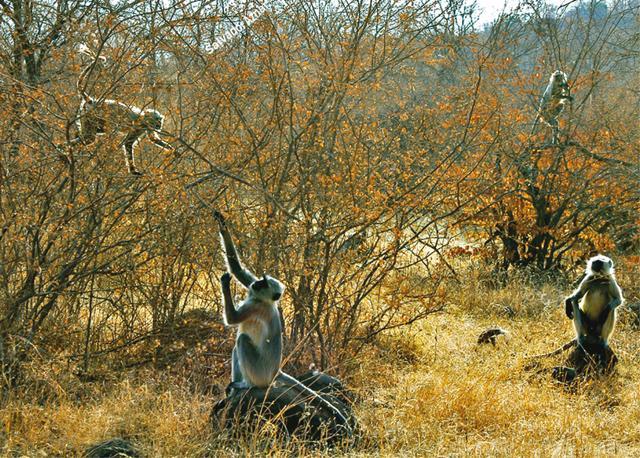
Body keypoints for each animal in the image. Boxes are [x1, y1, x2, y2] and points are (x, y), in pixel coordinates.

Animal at [72, 45, 172, 176]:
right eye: (157, 121)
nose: (159, 125)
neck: (143, 117)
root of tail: (92, 101)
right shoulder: (139, 126)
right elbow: (128, 143)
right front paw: (133, 170)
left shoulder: (146, 128)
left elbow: (153, 138)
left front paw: (171, 149)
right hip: (90, 116)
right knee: (90, 138)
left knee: (92, 135)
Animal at [214, 211, 352, 436]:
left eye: (263, 283)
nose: (256, 283)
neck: (265, 300)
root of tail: (275, 372)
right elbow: (238, 269)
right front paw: (222, 222)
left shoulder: (256, 306)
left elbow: (232, 319)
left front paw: (225, 283)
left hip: (259, 373)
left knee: (242, 340)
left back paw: (245, 385)